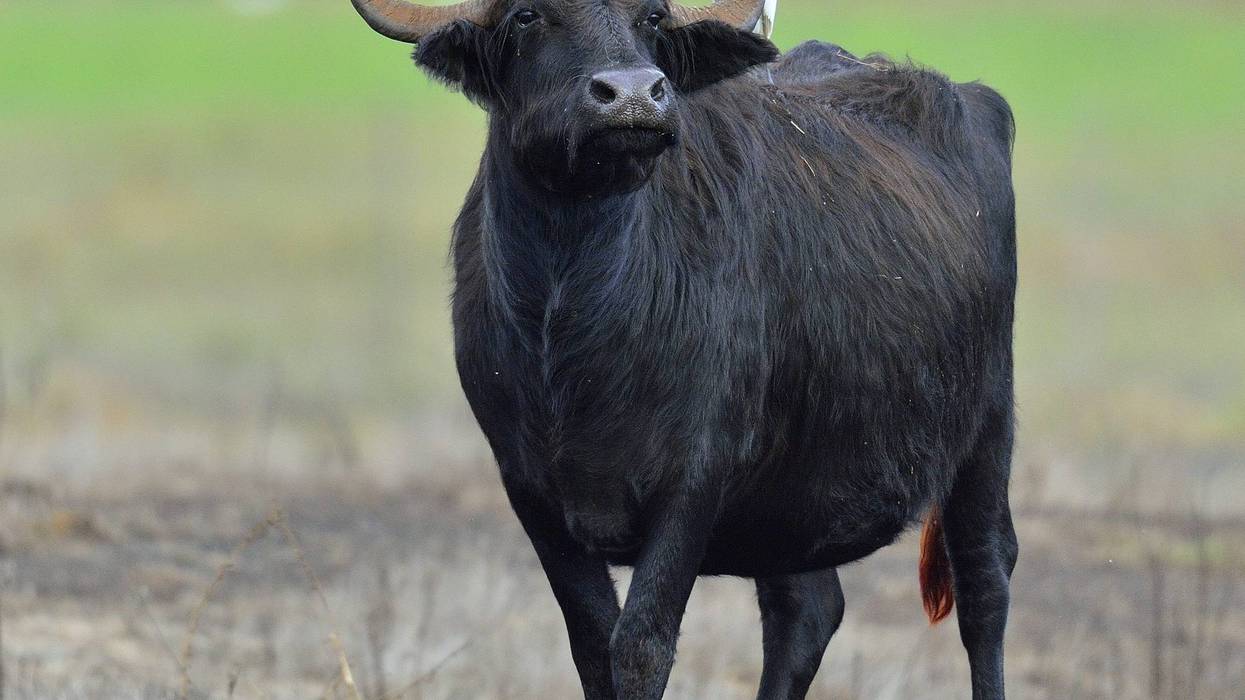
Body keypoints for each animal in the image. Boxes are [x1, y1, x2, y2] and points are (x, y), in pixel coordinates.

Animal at [348, 0, 1018, 697]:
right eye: (528, 16)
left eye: (651, 17)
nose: (634, 96)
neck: (573, 331)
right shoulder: (530, 490)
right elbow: (594, 643)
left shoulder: (696, 477)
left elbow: (642, 643)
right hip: (789, 501)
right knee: (806, 611)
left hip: (988, 424)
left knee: (984, 585)